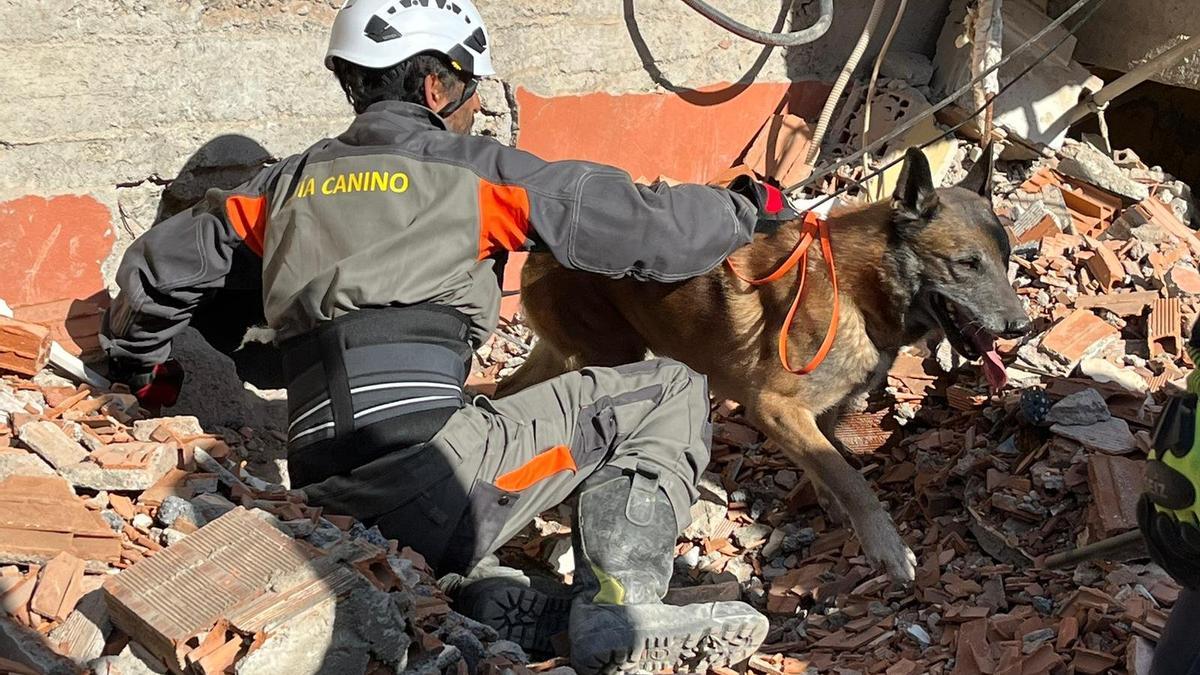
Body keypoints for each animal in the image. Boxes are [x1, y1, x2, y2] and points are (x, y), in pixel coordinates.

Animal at [496, 147, 1032, 578]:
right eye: (966, 264)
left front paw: (828, 500)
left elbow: (829, 458)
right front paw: (887, 548)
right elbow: (851, 478)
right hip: (607, 357)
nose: (1020, 327)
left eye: (1005, 259)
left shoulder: (820, 408)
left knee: (504, 396)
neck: (856, 289)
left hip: (569, 354)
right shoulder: (774, 407)